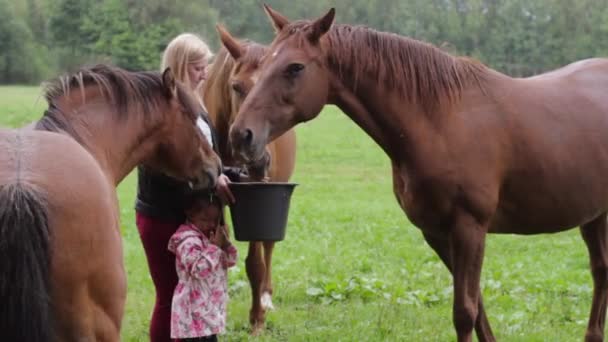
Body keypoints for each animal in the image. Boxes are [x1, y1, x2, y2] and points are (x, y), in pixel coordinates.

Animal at [202, 25, 296, 332]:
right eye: (236, 86)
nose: (259, 158)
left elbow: (255, 261)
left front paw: (257, 318)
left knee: (268, 247)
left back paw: (266, 296)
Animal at [229, 5, 608, 342]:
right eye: (263, 64)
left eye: (294, 67)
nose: (241, 135)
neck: (441, 119)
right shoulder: (437, 233)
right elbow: (478, 308)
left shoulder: (470, 229)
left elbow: (465, 312)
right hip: (594, 216)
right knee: (601, 270)